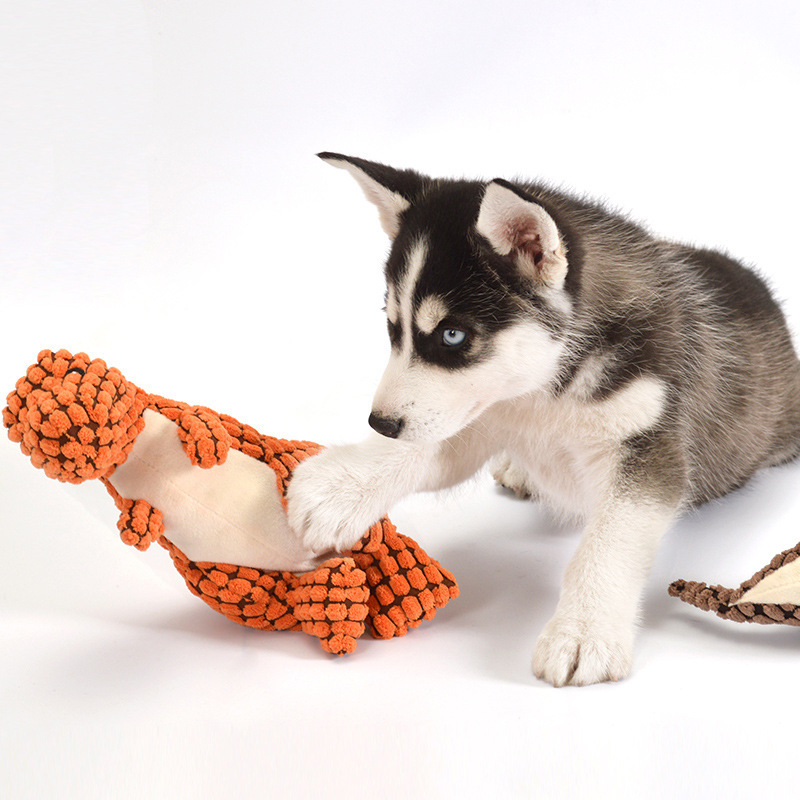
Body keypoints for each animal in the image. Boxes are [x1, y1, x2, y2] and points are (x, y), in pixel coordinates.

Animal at [288, 153, 800, 684]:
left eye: (452, 335)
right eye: (393, 327)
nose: (381, 424)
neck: (544, 393)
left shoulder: (650, 446)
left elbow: (608, 542)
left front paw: (583, 630)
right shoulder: (478, 411)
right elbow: (427, 450)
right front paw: (340, 489)